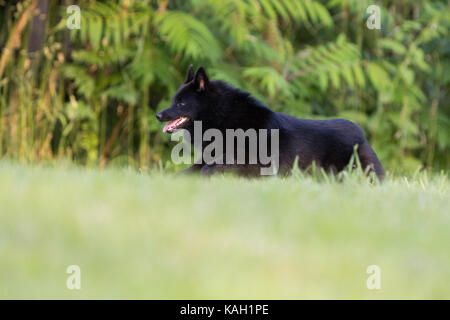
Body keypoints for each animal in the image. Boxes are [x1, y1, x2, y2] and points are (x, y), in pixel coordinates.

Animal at [156, 65, 384, 180]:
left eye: (180, 103)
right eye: (173, 101)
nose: (158, 115)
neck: (223, 117)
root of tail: (361, 135)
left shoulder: (250, 164)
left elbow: (209, 170)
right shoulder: (205, 159)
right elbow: (185, 173)